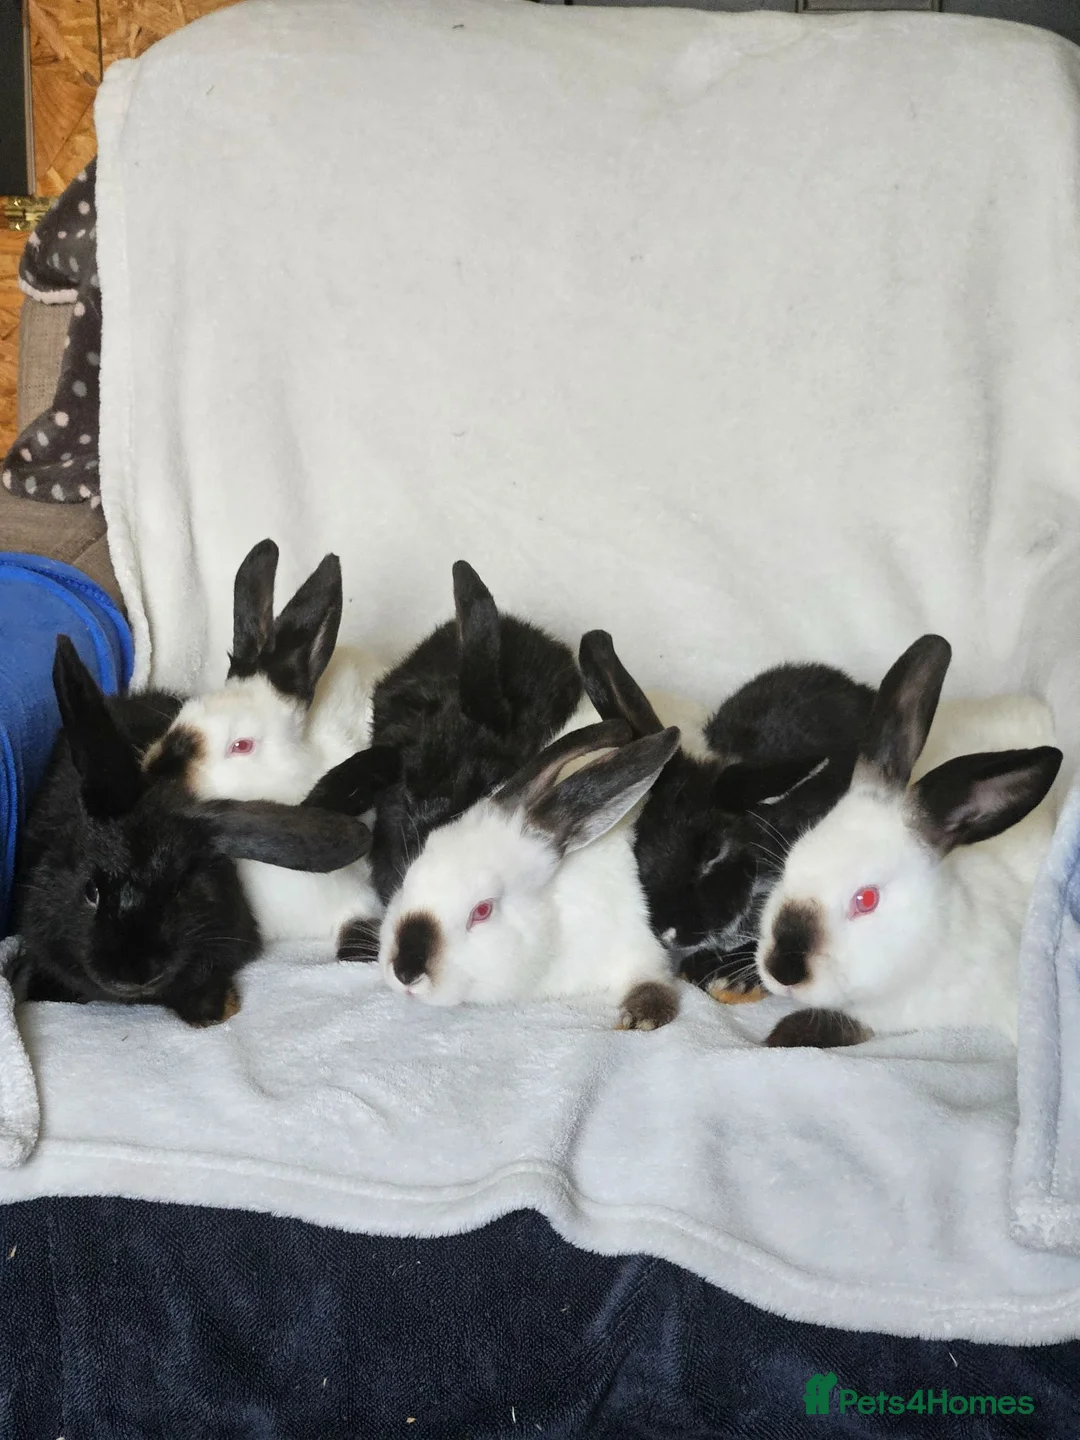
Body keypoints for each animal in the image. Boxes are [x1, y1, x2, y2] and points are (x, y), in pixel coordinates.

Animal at [376, 719, 685, 1029]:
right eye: (407, 880)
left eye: (482, 911)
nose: (405, 974)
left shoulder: (636, 940)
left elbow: (651, 977)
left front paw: (640, 1017)